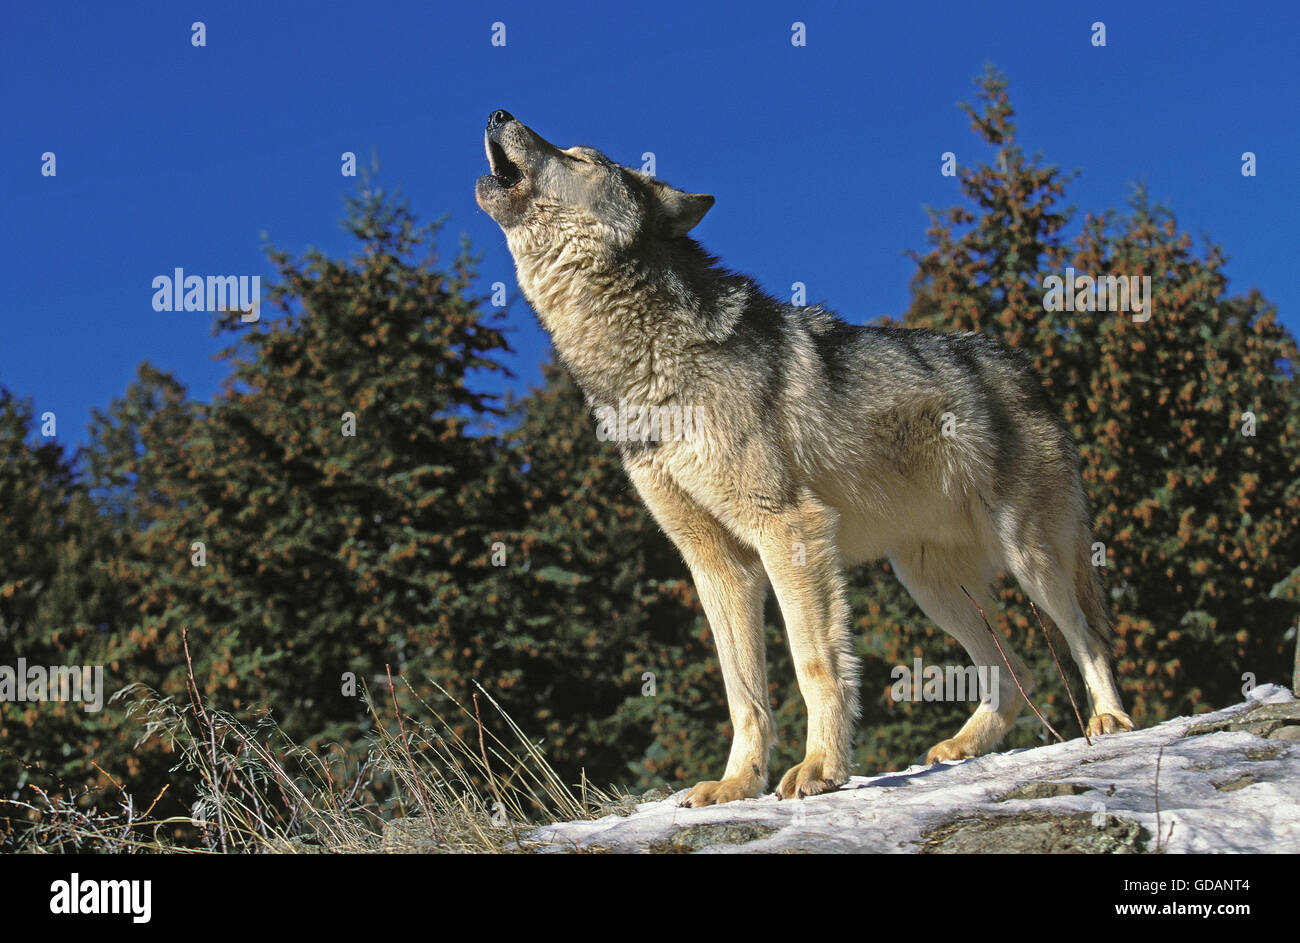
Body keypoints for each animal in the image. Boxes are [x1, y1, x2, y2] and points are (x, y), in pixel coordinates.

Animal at [473, 108, 1133, 801]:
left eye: (584, 158)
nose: (497, 112)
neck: (642, 368)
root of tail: (1022, 365)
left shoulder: (790, 529)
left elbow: (816, 664)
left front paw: (821, 769)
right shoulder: (716, 564)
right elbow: (743, 692)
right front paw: (736, 785)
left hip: (1028, 555)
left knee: (1087, 635)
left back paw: (1110, 722)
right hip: (928, 582)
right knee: (1014, 670)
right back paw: (961, 747)